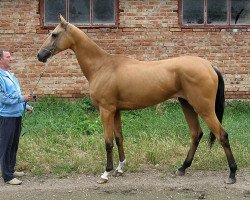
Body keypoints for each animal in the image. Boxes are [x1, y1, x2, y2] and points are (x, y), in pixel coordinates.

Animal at [37, 15, 238, 184]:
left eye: (54, 34)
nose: (40, 55)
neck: (102, 66)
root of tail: (209, 65)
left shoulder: (106, 110)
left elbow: (108, 141)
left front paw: (106, 173)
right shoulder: (116, 111)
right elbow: (119, 138)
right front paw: (120, 168)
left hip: (204, 109)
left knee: (222, 135)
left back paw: (232, 174)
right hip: (187, 105)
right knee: (196, 134)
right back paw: (182, 168)